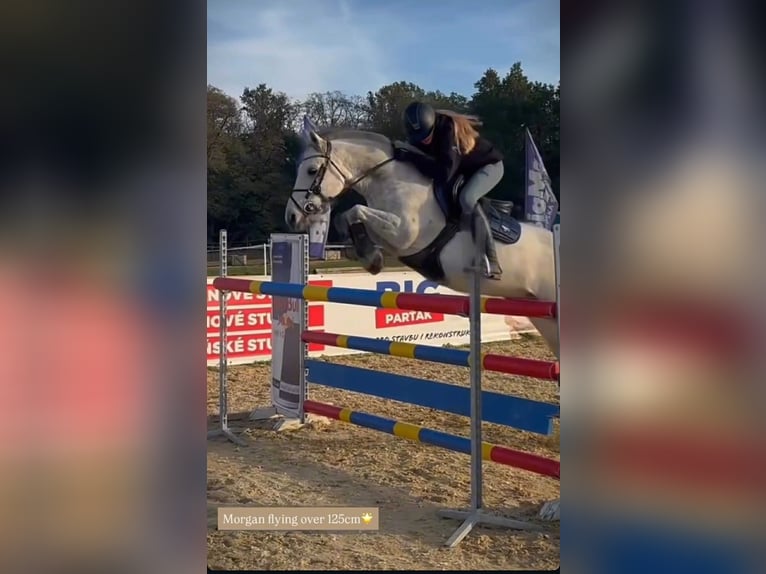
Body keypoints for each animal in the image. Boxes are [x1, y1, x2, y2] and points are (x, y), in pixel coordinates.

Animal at [284, 118, 559, 358]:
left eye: (311, 170)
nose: (291, 217)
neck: (391, 181)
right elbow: (348, 217)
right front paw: (369, 256)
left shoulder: (404, 234)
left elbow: (354, 211)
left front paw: (370, 257)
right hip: (538, 312)